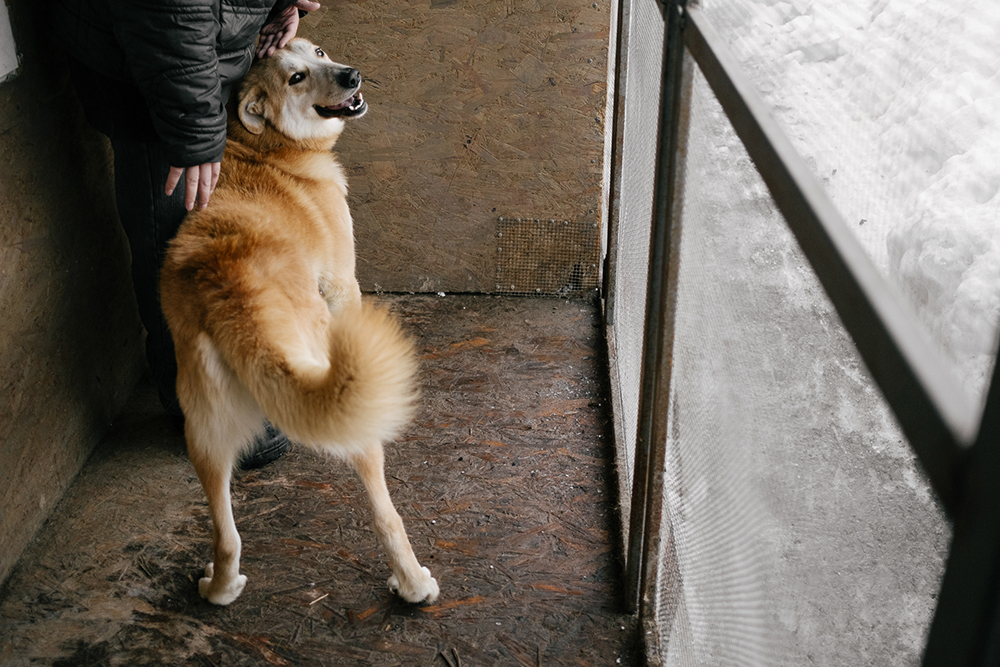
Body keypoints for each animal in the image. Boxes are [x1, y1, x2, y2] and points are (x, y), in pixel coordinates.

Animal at [162, 39, 440, 608]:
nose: (352, 74)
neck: (266, 147)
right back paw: (413, 583)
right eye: (295, 77)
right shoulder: (341, 283)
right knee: (384, 511)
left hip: (203, 434)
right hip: (348, 410)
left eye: (319, 52)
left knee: (226, 535)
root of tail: (230, 294)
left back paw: (220, 587)